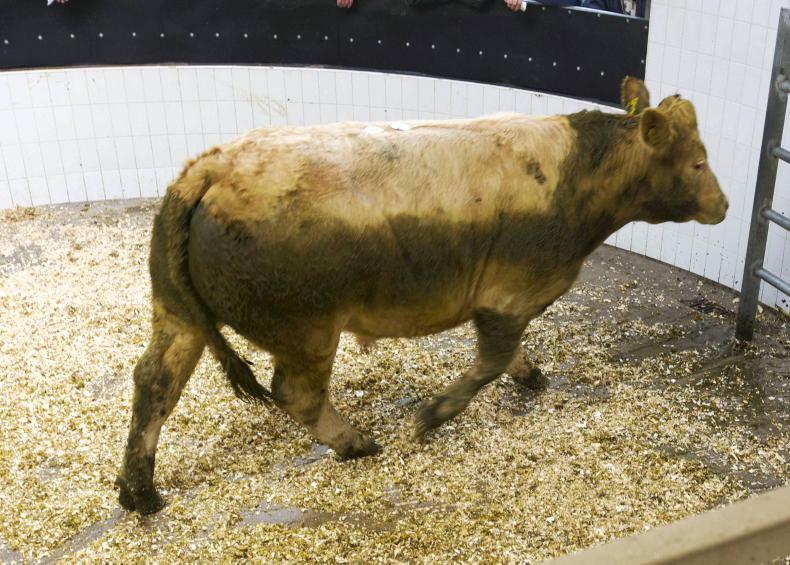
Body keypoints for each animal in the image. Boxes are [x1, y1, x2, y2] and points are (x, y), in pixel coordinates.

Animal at [116, 78, 728, 514]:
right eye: (698, 161)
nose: (723, 205)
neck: (576, 177)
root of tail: (213, 167)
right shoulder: (508, 294)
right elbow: (491, 360)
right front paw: (432, 416)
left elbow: (509, 356)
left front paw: (532, 375)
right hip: (307, 328)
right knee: (295, 393)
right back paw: (357, 443)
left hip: (176, 312)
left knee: (155, 380)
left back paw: (139, 493)